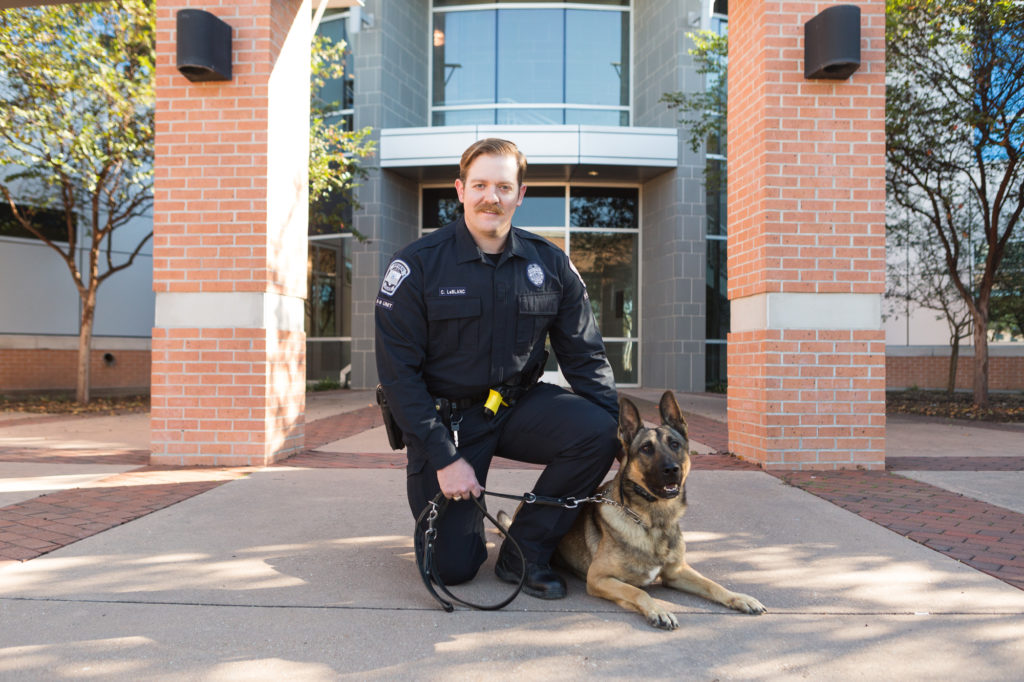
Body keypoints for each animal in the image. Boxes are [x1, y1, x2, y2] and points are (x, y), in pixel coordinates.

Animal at [557, 391, 765, 630]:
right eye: (646, 448)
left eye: (675, 444)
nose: (671, 470)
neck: (654, 521)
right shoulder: (599, 578)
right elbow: (638, 592)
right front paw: (659, 611)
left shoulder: (676, 572)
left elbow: (712, 584)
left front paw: (739, 598)